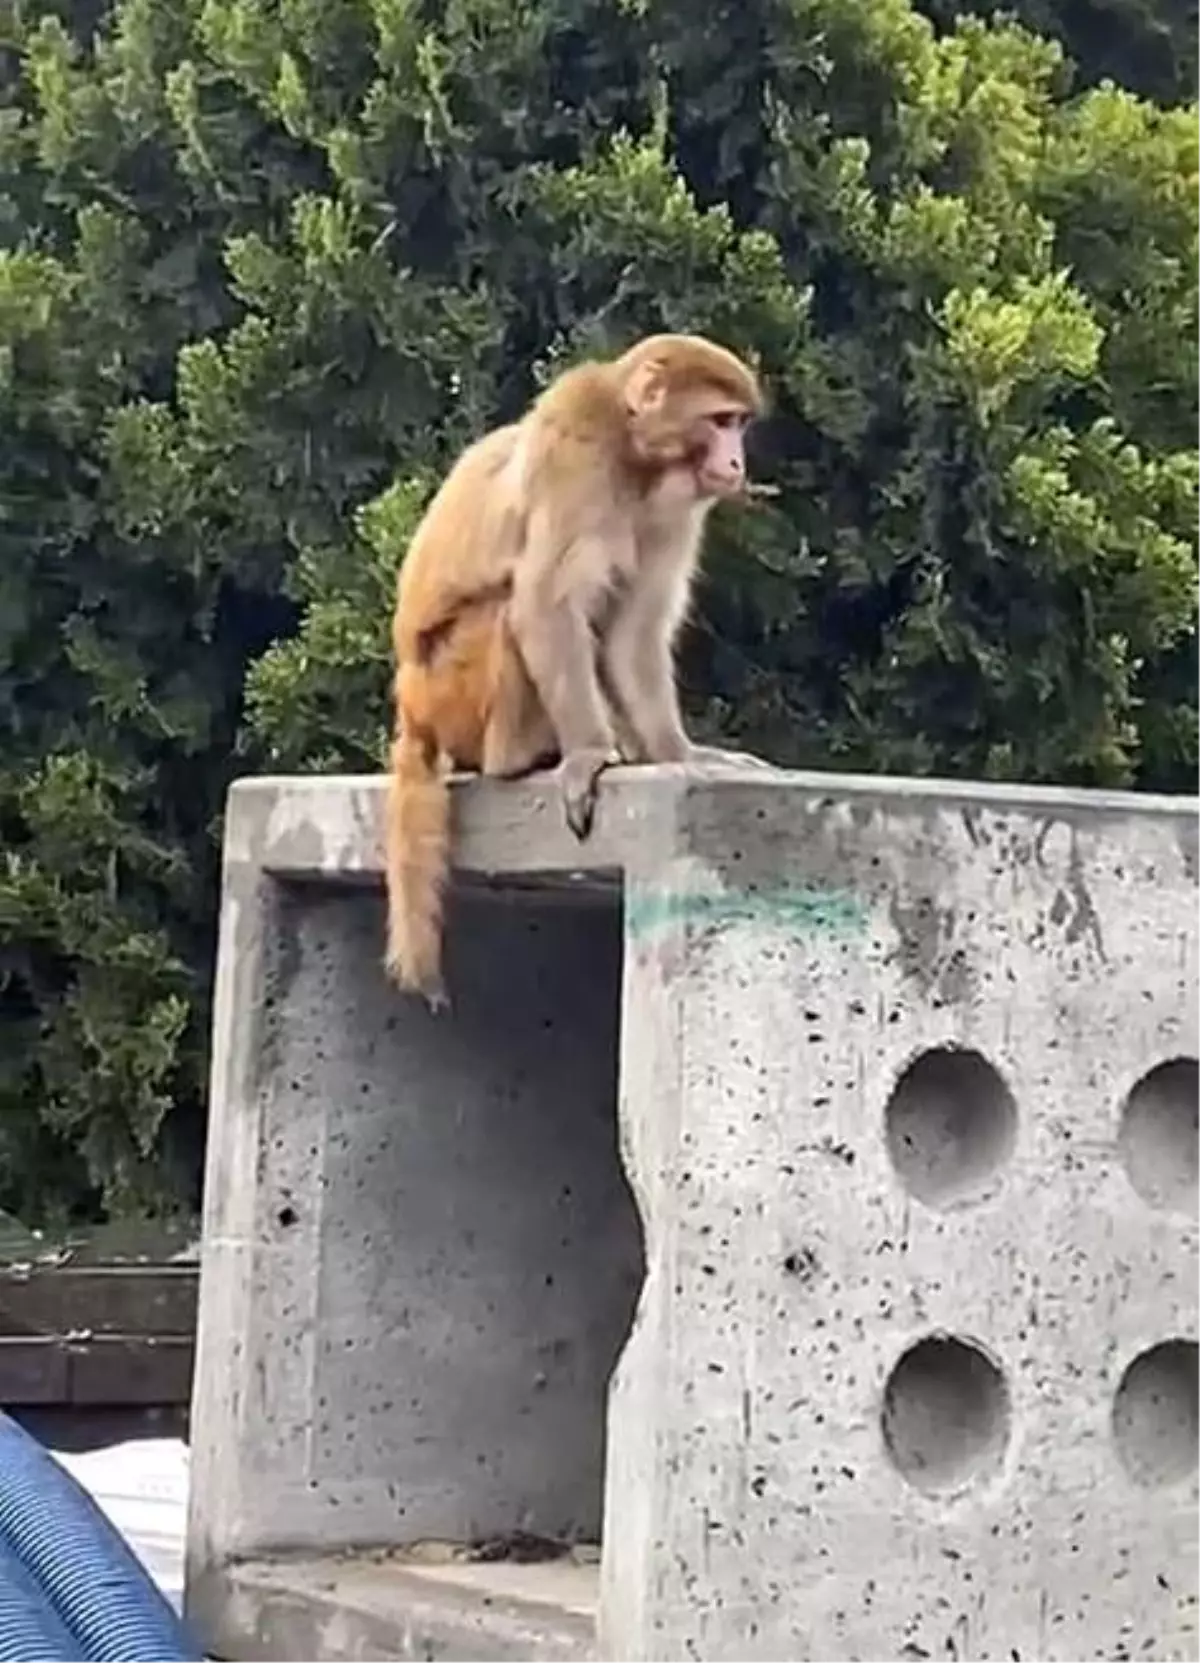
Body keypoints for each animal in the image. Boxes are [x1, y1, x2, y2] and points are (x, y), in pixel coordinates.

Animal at [387, 327, 771, 997]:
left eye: (740, 425)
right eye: (721, 421)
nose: (736, 463)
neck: (634, 454)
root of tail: (412, 702)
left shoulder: (675, 511)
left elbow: (631, 635)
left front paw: (679, 754)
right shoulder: (575, 456)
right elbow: (547, 605)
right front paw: (590, 754)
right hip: (451, 687)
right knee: (509, 609)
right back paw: (520, 757)